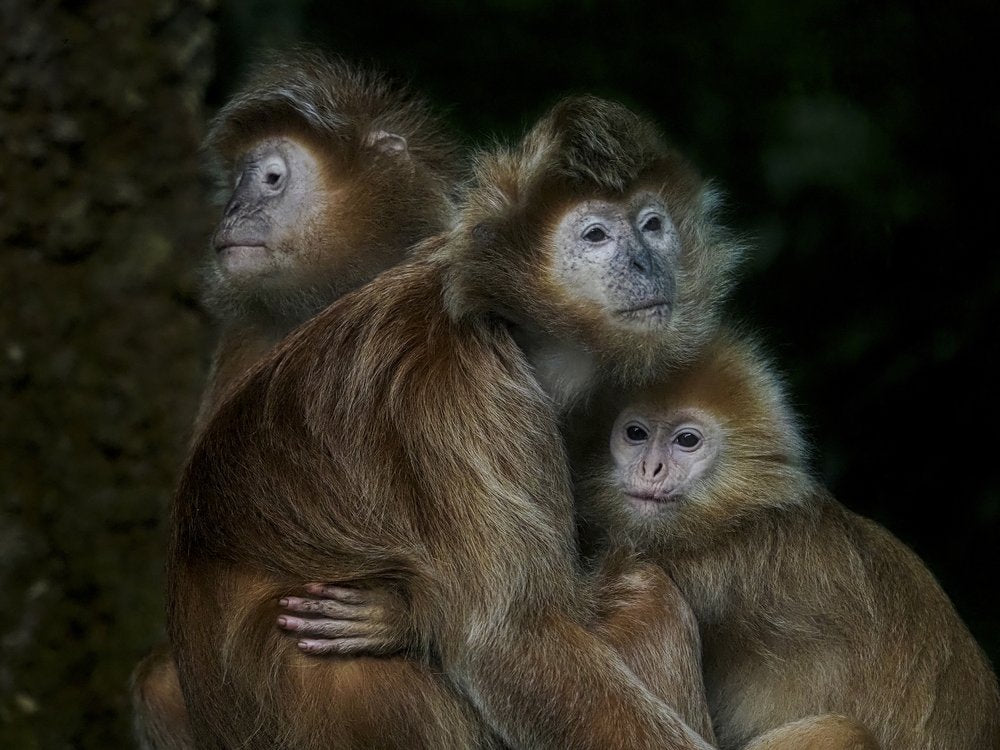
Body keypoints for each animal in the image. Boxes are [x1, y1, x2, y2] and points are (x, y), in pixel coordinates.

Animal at [167, 95, 744, 749]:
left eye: (652, 226)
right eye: (596, 235)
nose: (646, 264)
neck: (507, 325)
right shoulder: (459, 395)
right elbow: (509, 641)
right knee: (642, 593)